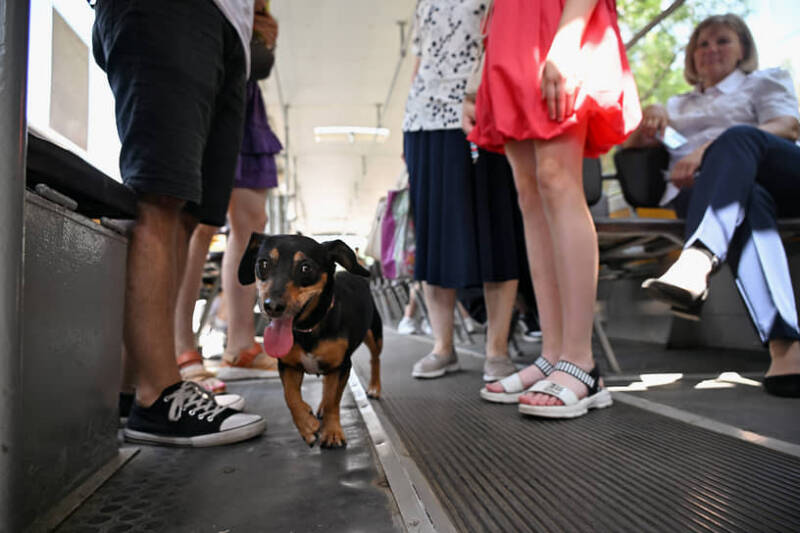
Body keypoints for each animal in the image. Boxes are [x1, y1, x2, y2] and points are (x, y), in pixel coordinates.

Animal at [238, 235, 382, 446]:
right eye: (263, 263)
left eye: (306, 268)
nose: (272, 306)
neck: (308, 329)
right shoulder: (288, 366)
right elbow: (290, 396)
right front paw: (307, 424)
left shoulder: (341, 366)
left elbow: (333, 401)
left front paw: (332, 432)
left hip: (374, 334)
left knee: (375, 359)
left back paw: (374, 387)